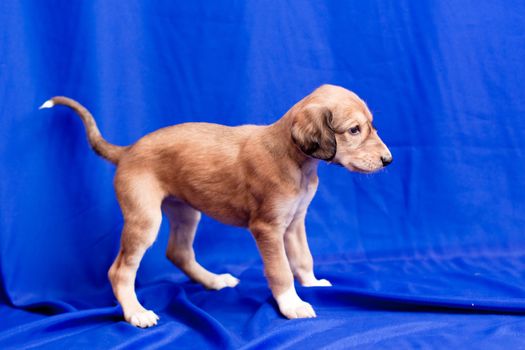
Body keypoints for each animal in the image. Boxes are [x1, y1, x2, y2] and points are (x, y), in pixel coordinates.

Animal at [41, 85, 390, 328]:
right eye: (354, 130)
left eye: (372, 125)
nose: (388, 160)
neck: (295, 159)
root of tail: (127, 151)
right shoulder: (267, 229)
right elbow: (280, 271)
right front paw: (292, 305)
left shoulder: (294, 223)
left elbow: (303, 259)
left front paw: (312, 284)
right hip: (144, 220)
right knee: (120, 271)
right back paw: (136, 313)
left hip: (185, 211)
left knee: (178, 252)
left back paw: (213, 281)